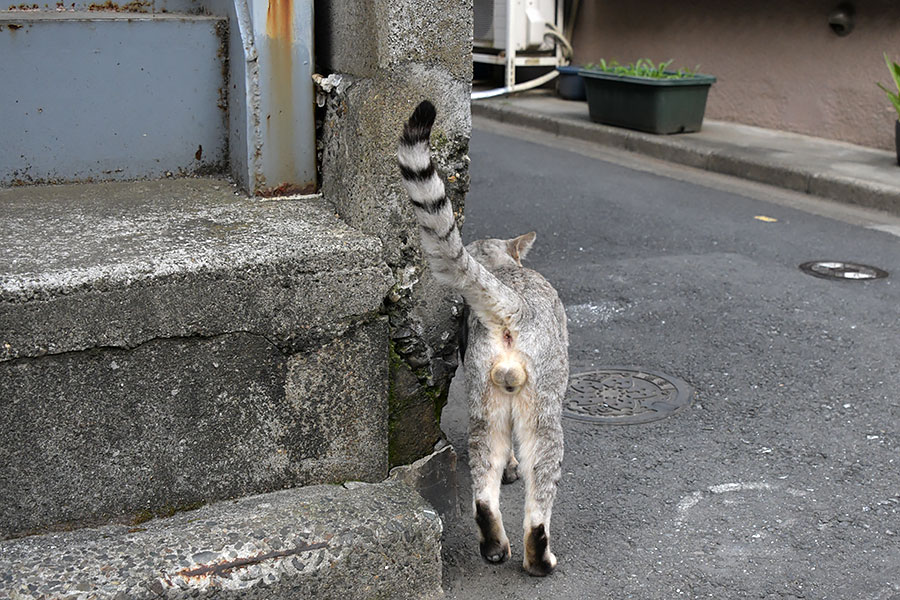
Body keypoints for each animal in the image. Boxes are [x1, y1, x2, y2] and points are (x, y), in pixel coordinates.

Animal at [396, 102, 568, 576]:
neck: (502, 268)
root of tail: (514, 304)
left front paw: (508, 468)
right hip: (543, 412)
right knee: (538, 496)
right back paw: (537, 557)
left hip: (483, 404)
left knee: (483, 488)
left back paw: (493, 544)